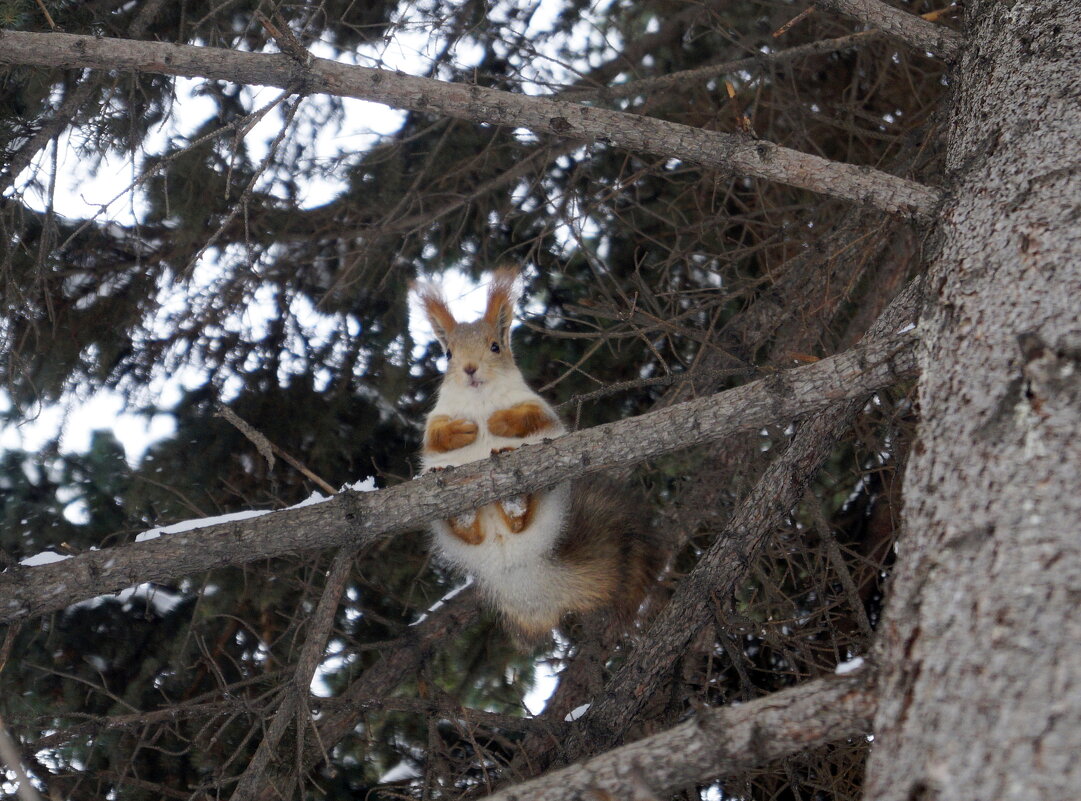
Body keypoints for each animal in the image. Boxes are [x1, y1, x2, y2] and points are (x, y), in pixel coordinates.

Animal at [415, 270, 661, 644]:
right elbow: (435, 437)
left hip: (548, 497)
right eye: (447, 354)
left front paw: (497, 422)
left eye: (495, 346)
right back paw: (466, 514)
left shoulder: (540, 410)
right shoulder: (435, 421)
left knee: (521, 521)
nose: (470, 369)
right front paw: (465, 429)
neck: (480, 399)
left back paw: (516, 502)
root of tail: (513, 563)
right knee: (469, 533)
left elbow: (532, 418)